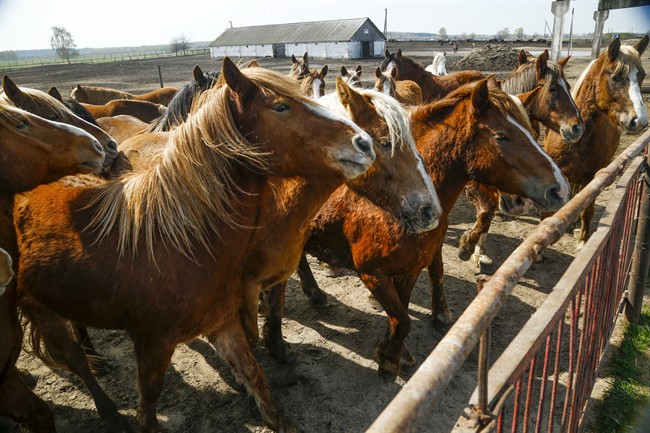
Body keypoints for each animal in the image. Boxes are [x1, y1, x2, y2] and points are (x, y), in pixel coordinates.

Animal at [12, 57, 374, 433]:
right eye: (281, 106)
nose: (364, 143)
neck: (180, 241)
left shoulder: (225, 318)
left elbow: (254, 370)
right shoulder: (153, 342)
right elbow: (149, 398)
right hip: (41, 308)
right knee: (74, 358)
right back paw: (105, 400)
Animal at [288, 78, 570, 379]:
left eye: (533, 131)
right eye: (501, 136)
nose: (560, 188)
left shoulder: (410, 271)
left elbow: (401, 314)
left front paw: (394, 352)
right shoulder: (373, 274)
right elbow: (402, 320)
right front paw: (389, 363)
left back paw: (315, 294)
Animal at [459, 52, 584, 269]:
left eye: (569, 86)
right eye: (553, 88)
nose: (577, 128)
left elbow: (487, 216)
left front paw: (479, 250)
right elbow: (485, 213)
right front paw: (469, 245)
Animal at [545, 35, 648, 249]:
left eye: (641, 75)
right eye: (616, 77)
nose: (640, 121)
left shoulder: (592, 179)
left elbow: (587, 209)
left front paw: (583, 240)